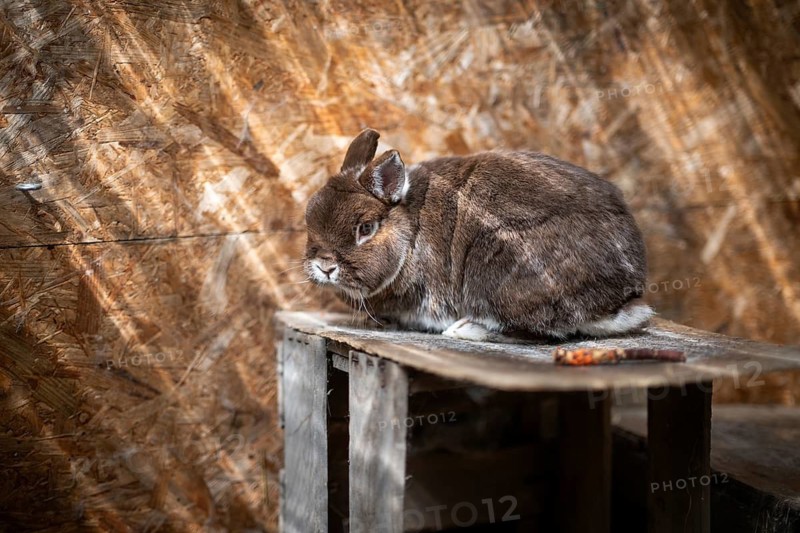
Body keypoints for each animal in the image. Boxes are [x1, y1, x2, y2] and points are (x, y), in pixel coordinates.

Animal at [303, 128, 653, 341]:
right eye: (309, 220)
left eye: (366, 228)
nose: (325, 266)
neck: (411, 233)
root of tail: (619, 298)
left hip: (497, 277)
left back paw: (465, 329)